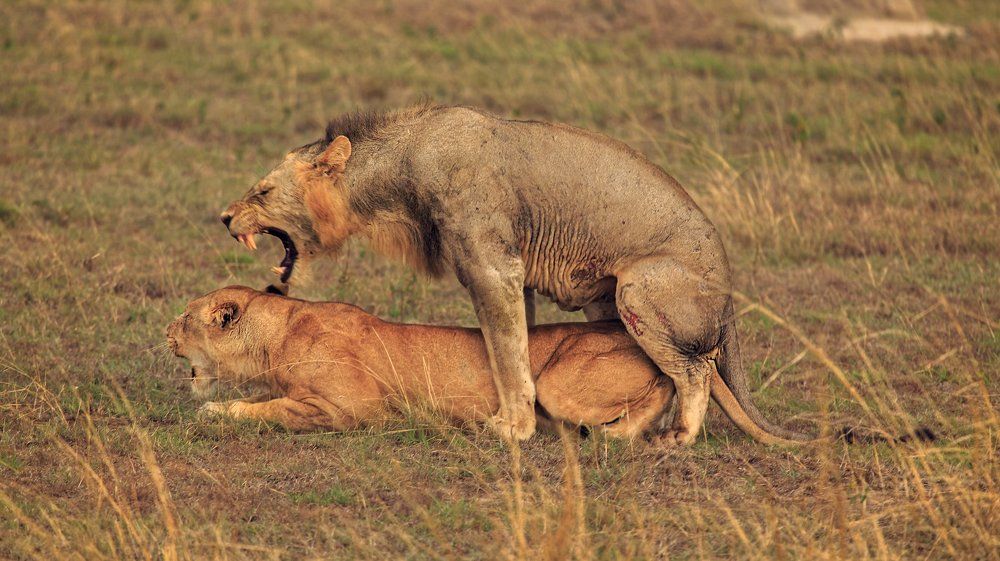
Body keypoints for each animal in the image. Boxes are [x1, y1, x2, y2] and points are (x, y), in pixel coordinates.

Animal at [218, 105, 804, 445]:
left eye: (263, 191)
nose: (224, 217)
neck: (398, 176)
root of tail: (728, 289)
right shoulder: (510, 274)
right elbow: (512, 347)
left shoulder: (492, 266)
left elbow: (507, 353)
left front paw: (512, 429)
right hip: (606, 300)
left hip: (639, 289)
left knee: (696, 369)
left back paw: (676, 437)